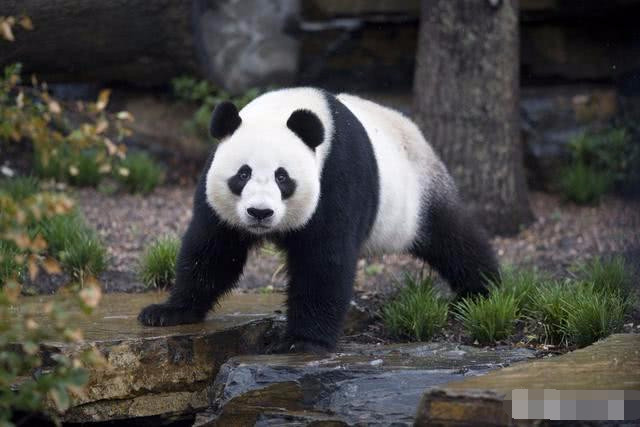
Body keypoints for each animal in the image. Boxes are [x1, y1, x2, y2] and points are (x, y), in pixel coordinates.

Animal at [139, 88, 500, 354]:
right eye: (243, 174)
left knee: (453, 237)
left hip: (417, 192)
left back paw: (483, 290)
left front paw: (301, 342)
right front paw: (167, 312)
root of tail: (412, 128)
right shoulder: (215, 192)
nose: (260, 213)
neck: (285, 110)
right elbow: (212, 251)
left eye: (282, 177)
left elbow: (324, 260)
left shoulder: (337, 175)